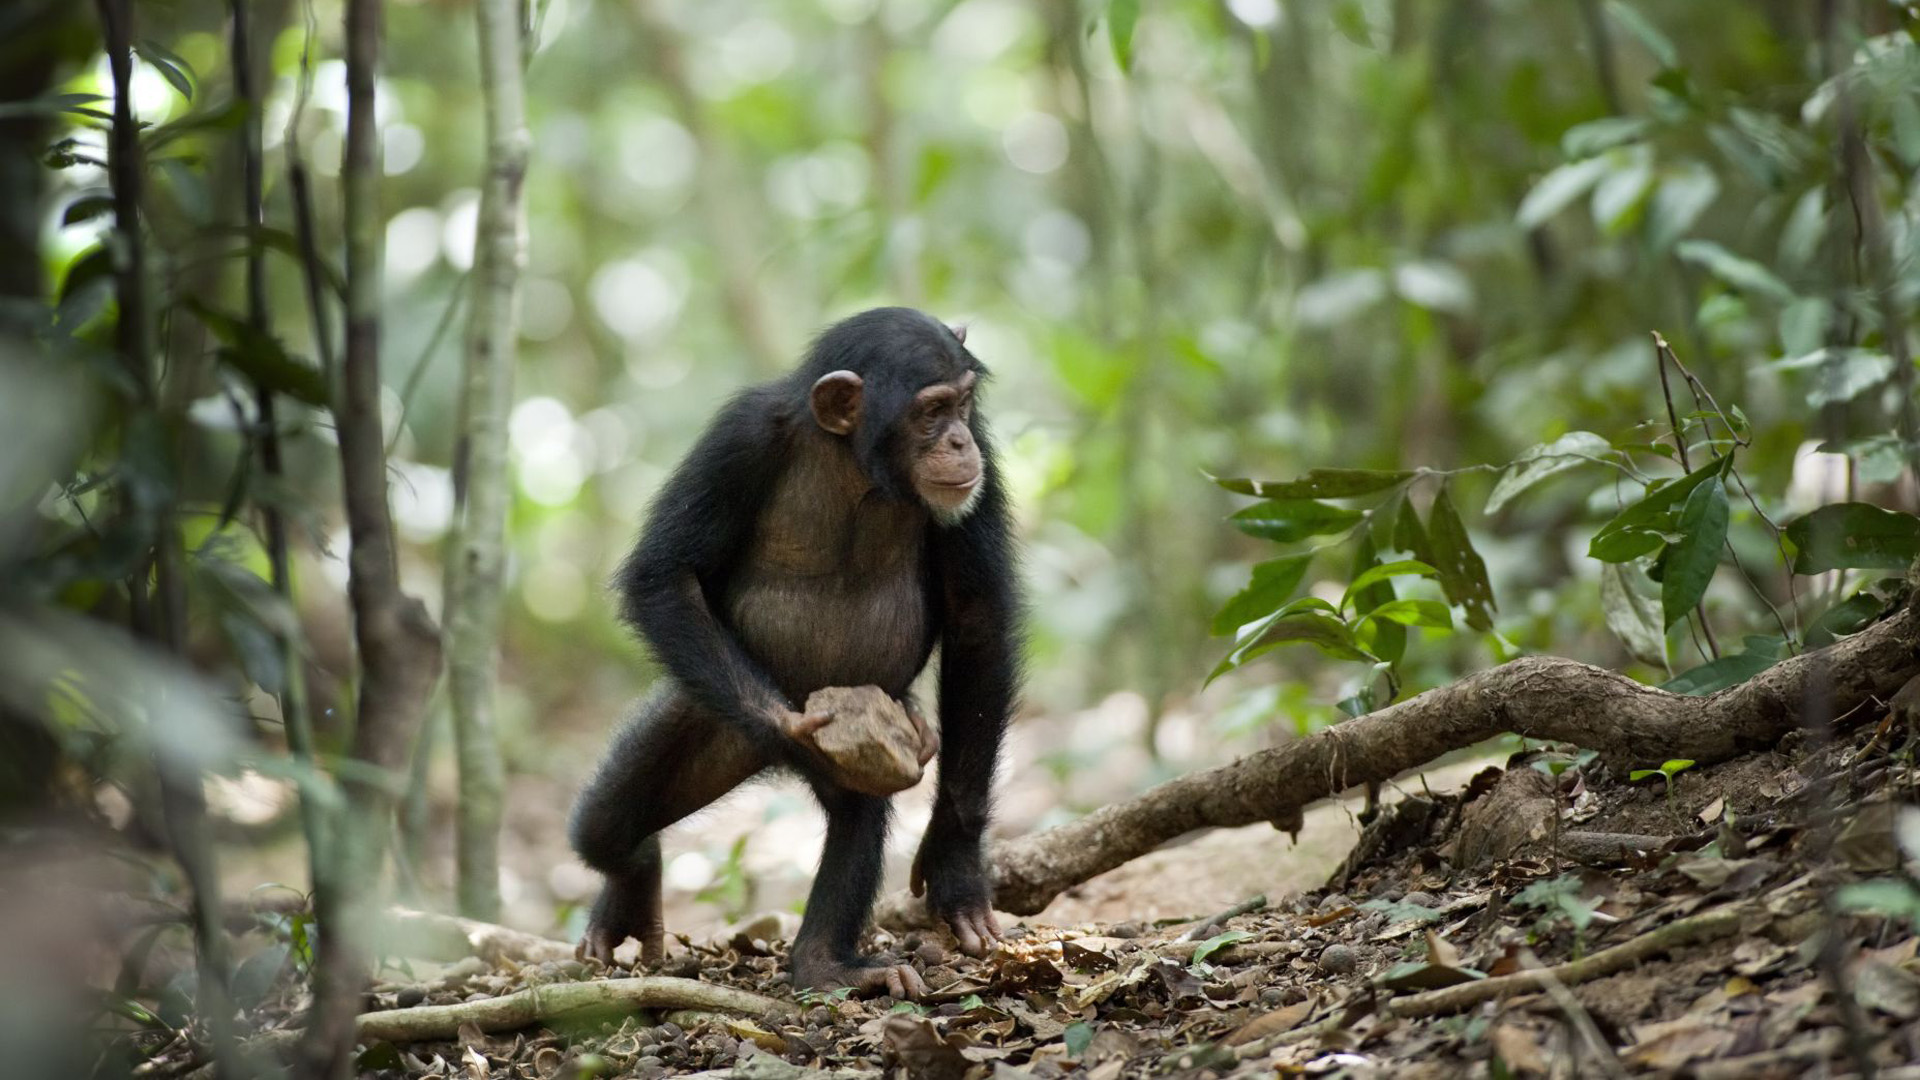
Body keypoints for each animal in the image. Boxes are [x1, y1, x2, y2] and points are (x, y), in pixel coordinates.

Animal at [564, 303, 1021, 991]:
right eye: (930, 412)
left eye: (964, 406)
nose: (958, 442)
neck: (853, 460)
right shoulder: (738, 439)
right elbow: (666, 575)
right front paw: (795, 728)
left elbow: (976, 620)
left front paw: (956, 866)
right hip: (708, 710)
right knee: (604, 830)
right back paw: (636, 879)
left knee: (856, 816)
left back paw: (824, 962)